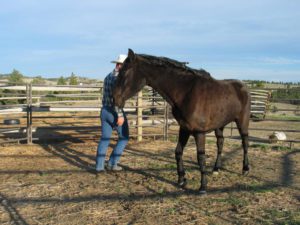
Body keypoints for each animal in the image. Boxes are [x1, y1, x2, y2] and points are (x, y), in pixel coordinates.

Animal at [112, 48, 251, 193]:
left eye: (125, 72)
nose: (114, 98)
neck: (186, 92)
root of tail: (243, 86)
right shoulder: (184, 128)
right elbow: (178, 152)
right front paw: (181, 179)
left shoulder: (199, 132)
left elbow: (200, 157)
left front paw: (203, 186)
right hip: (220, 125)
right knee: (220, 143)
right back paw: (216, 169)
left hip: (242, 122)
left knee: (245, 142)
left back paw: (245, 169)